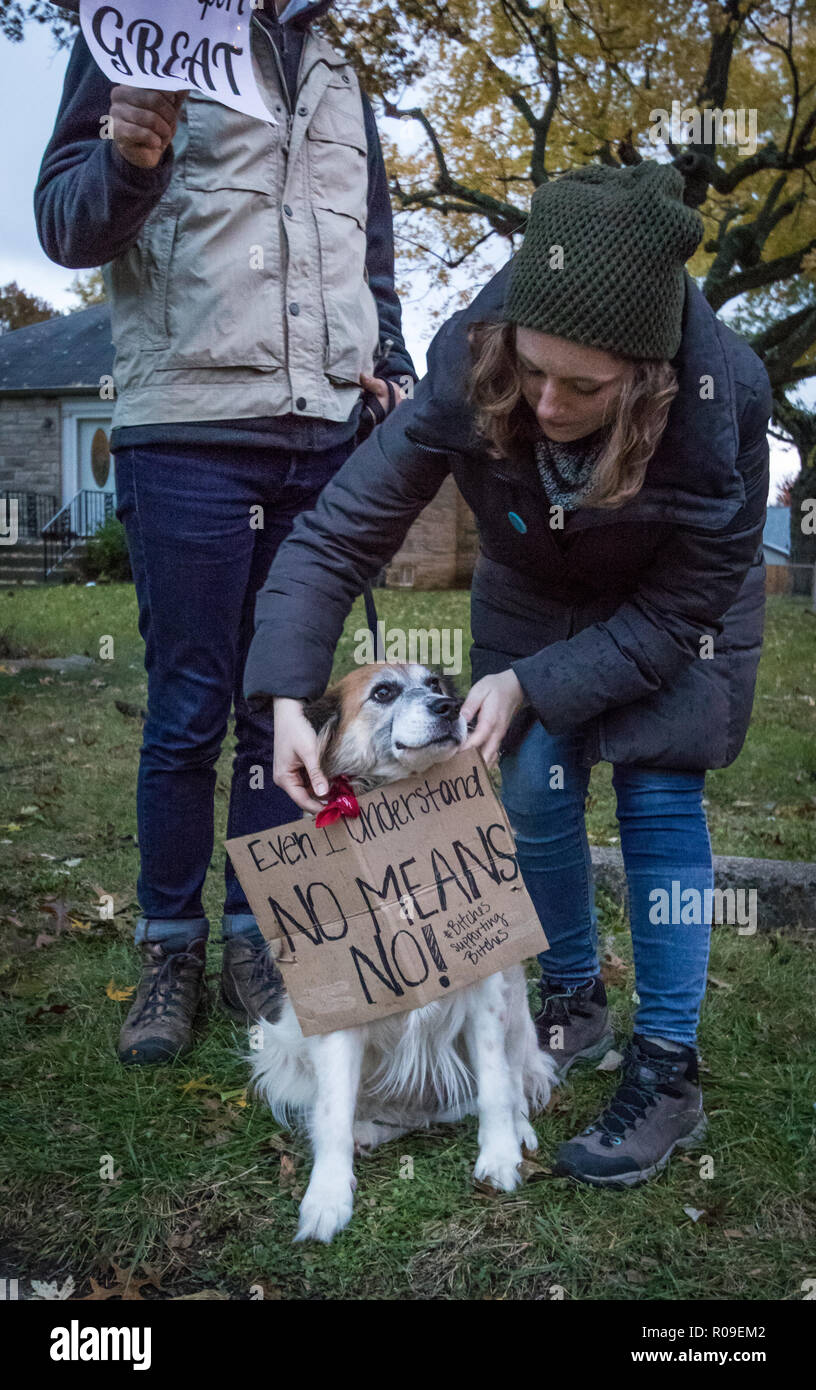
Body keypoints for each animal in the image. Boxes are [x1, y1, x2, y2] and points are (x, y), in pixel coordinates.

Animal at [248, 664, 556, 1251]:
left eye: (435, 683)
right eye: (384, 692)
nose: (447, 707)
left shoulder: (488, 984)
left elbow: (496, 1083)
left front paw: (500, 1155)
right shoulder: (345, 1003)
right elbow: (332, 1112)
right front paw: (326, 1200)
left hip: (516, 1007)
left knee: (513, 1079)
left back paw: (519, 1129)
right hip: (282, 1045)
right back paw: (367, 1133)